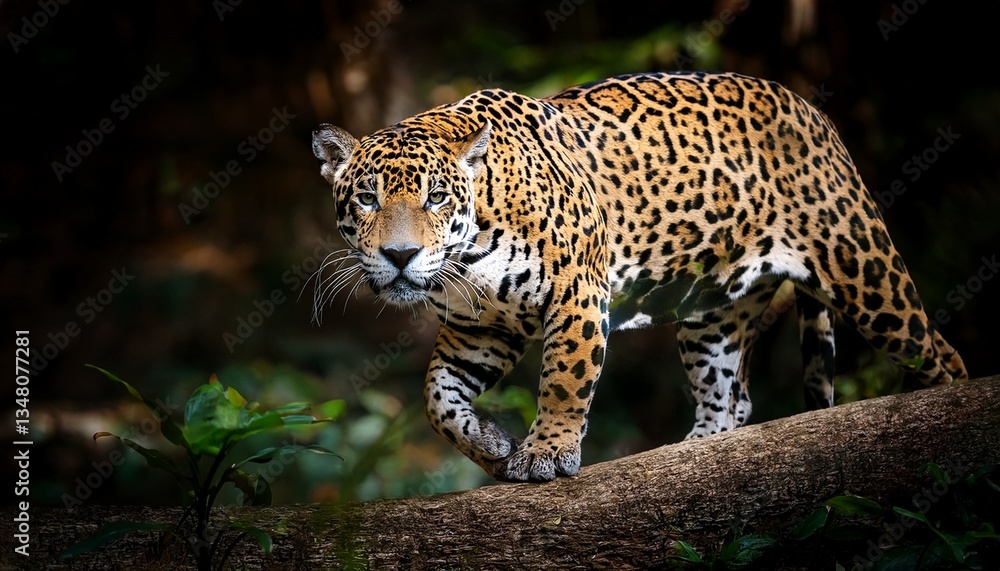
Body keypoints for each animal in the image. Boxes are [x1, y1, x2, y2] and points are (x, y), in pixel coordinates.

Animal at [311, 71, 967, 482]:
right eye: (367, 198)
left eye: (437, 197)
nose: (399, 255)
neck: (470, 250)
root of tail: (807, 106)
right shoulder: (479, 330)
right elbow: (437, 399)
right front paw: (490, 445)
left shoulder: (576, 295)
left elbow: (564, 380)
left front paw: (546, 452)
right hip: (712, 316)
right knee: (730, 398)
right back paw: (693, 453)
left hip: (864, 273)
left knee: (941, 356)